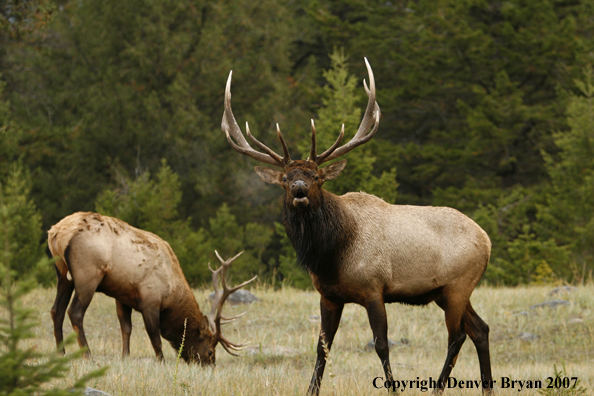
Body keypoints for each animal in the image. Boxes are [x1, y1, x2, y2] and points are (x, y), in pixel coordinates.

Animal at [48, 213, 254, 366]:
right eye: (210, 351)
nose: (210, 367)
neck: (172, 291)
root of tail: (57, 233)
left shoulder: (122, 296)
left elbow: (126, 328)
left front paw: (125, 357)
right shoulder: (150, 300)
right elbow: (155, 336)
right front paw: (161, 361)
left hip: (62, 274)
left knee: (56, 310)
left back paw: (60, 353)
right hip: (88, 274)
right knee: (74, 312)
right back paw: (87, 355)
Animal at [220, 58, 492, 392]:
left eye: (317, 177)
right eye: (285, 178)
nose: (299, 188)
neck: (331, 255)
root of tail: (487, 240)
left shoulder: (374, 288)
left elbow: (382, 345)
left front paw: (393, 389)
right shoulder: (328, 296)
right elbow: (322, 347)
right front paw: (311, 390)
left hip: (458, 284)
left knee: (458, 336)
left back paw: (439, 388)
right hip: (447, 291)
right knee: (481, 329)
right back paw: (487, 386)